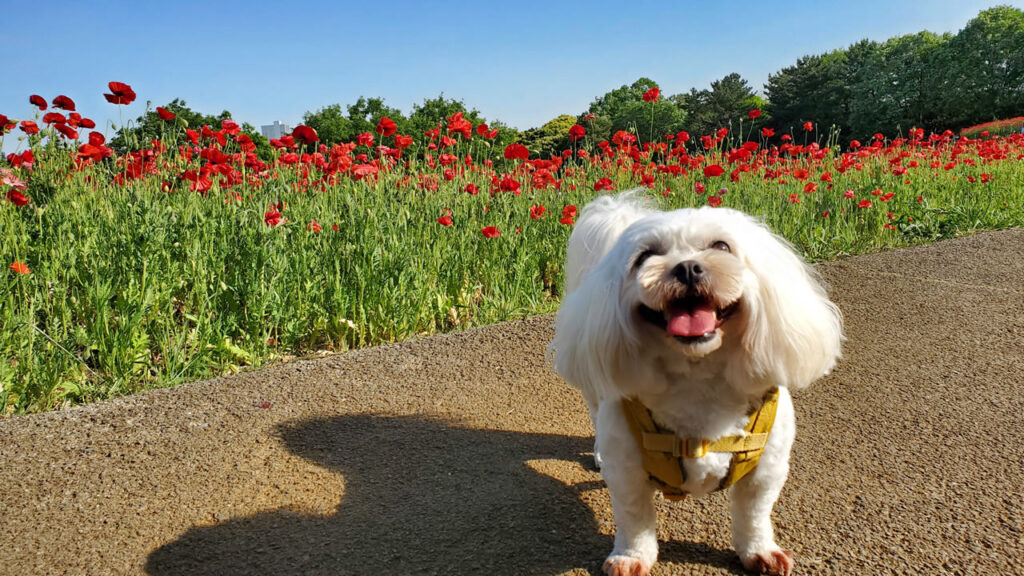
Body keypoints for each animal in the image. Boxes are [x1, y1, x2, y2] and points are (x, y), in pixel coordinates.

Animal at [552, 192, 839, 573]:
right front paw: (631, 557)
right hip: (599, 396)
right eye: (645, 256)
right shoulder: (627, 472)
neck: (697, 376)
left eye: (721, 246)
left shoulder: (766, 469)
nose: (687, 267)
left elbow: (754, 515)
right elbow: (634, 518)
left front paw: (759, 551)